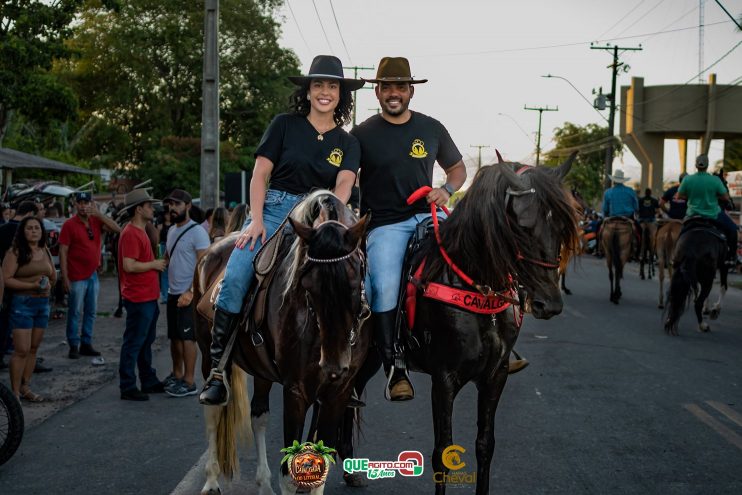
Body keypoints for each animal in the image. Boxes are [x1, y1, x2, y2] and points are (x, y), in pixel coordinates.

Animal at [195, 191, 372, 495]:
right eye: (309, 286)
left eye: (354, 281)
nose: (334, 364)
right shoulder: (295, 391)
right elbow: (291, 475)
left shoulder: (337, 393)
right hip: (209, 354)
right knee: (214, 411)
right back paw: (211, 480)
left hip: (262, 370)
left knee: (258, 415)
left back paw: (263, 484)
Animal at [340, 155, 584, 495]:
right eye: (523, 226)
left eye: (562, 225)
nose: (549, 303)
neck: (476, 286)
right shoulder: (444, 380)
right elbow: (442, 452)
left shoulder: (495, 377)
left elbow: (485, 445)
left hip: (372, 357)